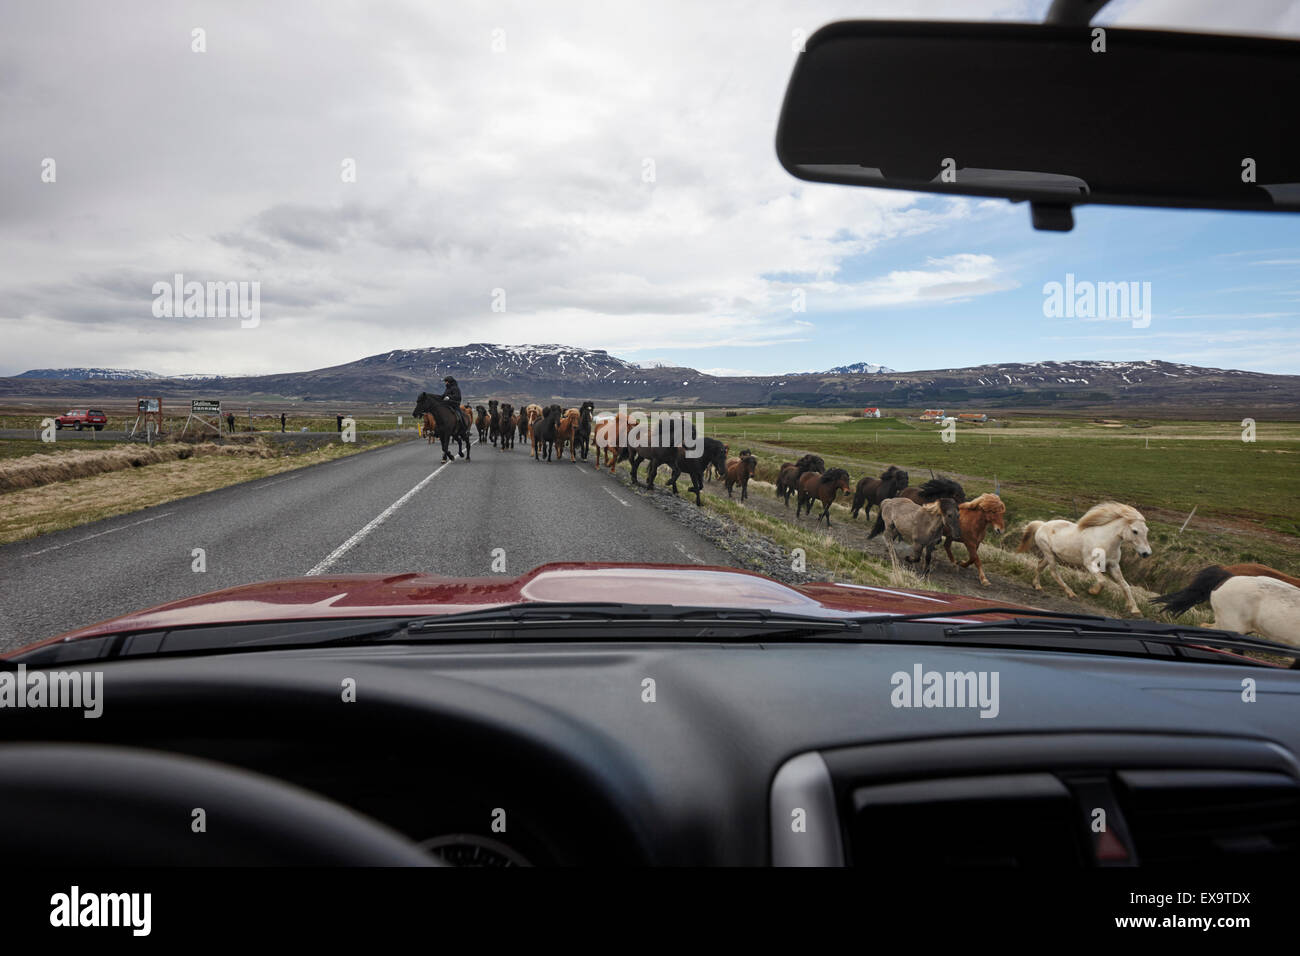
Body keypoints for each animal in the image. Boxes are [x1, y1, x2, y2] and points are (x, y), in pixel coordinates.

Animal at [1019, 504, 1154, 616]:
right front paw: (1092, 591)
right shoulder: (1090, 563)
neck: (1105, 542)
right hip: (1049, 554)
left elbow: (1125, 586)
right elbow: (1102, 581)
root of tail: (1042, 525)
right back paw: (1071, 593)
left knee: (1040, 565)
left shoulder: (1113, 566)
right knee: (1054, 572)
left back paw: (1037, 586)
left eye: (1147, 531)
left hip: (1052, 555)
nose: (1146, 553)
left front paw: (1135, 610)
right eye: (1135, 531)